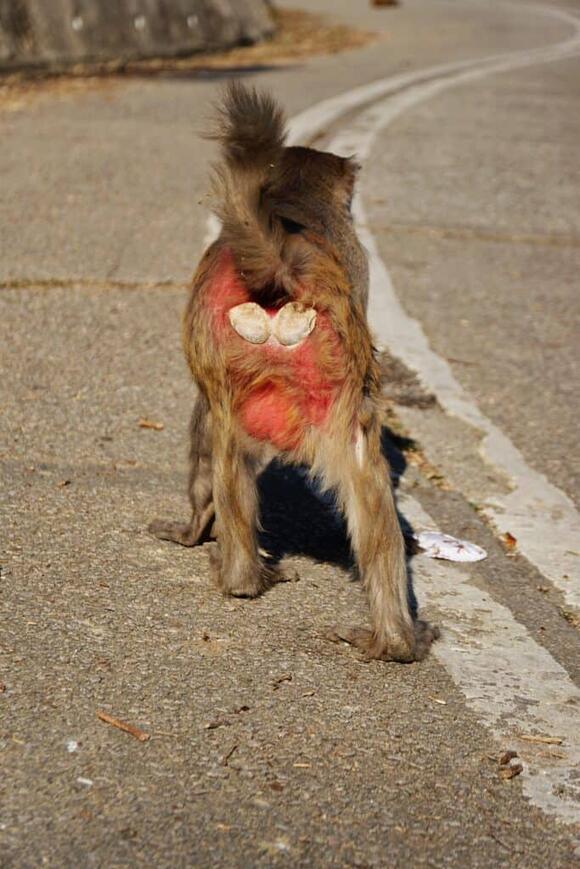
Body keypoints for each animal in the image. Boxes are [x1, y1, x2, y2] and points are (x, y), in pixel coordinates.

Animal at [149, 82, 438, 662]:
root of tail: (283, 265)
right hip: (334, 381)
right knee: (365, 477)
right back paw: (393, 640)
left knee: (218, 441)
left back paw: (234, 569)